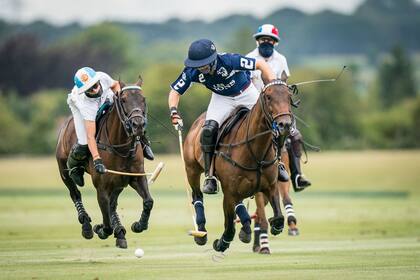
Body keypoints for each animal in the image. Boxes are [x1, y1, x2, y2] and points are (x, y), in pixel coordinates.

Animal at [55, 77, 153, 248]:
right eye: (123, 99)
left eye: (143, 99)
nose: (138, 125)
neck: (121, 147)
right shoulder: (101, 187)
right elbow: (106, 222)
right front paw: (100, 229)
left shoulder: (136, 177)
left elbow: (148, 201)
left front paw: (138, 225)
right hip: (63, 171)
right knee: (75, 193)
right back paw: (87, 226)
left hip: (119, 182)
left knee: (112, 205)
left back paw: (120, 231)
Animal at [182, 80, 294, 253]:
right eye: (268, 97)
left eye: (289, 96)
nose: (285, 125)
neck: (255, 151)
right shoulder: (229, 192)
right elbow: (229, 226)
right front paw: (221, 243)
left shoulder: (270, 186)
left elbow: (278, 217)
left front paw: (269, 226)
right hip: (191, 169)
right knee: (197, 196)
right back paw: (201, 231)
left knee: (240, 204)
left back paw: (246, 229)